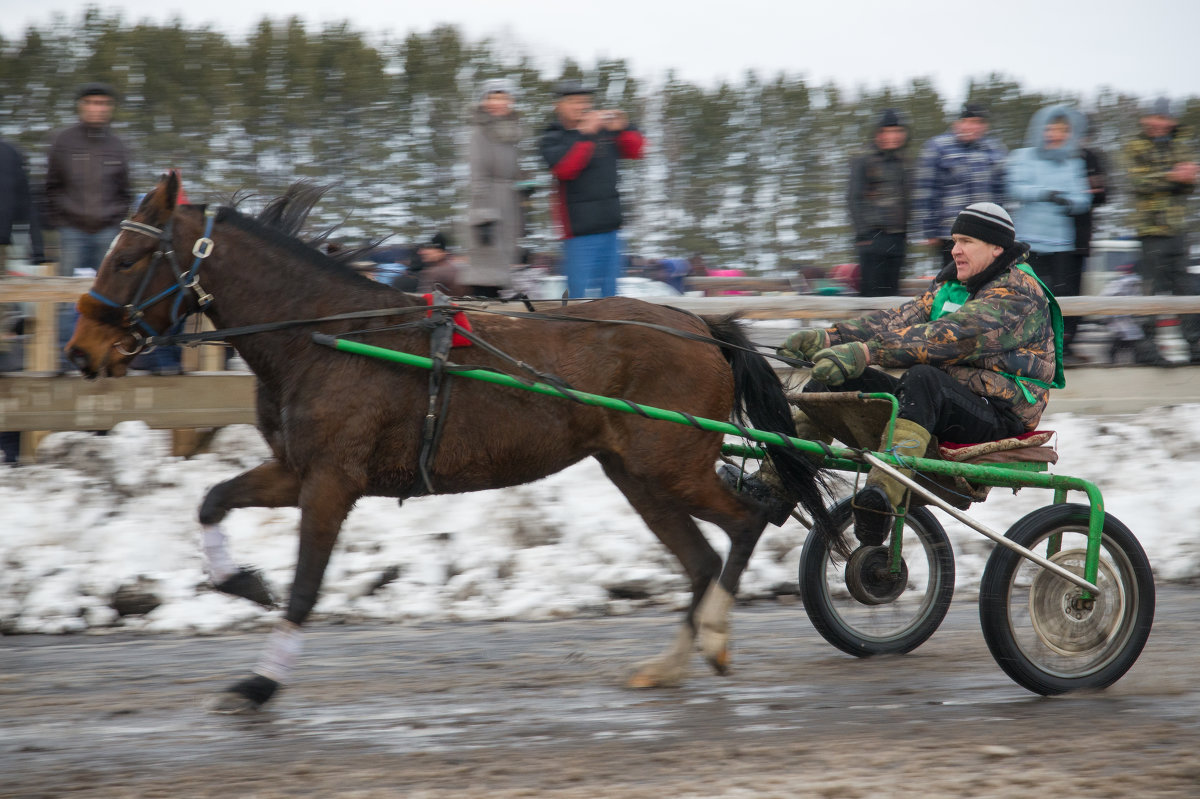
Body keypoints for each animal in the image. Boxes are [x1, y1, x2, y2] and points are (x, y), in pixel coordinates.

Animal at [63, 172, 835, 710]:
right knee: (701, 558)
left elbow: (306, 589)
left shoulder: (333, 481)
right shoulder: (295, 469)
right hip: (635, 473)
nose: (80, 349)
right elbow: (213, 500)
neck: (325, 335)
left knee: (746, 520)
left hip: (669, 463)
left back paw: (717, 635)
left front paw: (257, 683)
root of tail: (700, 324)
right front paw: (243, 581)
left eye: (129, 256)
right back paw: (670, 662)